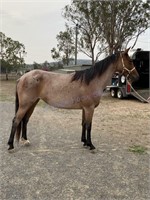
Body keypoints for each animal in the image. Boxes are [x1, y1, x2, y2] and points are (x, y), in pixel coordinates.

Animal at [7, 48, 139, 152]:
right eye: (130, 61)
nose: (136, 76)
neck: (91, 81)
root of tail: (22, 77)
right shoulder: (89, 108)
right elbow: (89, 125)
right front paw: (91, 145)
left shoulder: (85, 109)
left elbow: (84, 124)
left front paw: (84, 142)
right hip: (25, 104)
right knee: (16, 120)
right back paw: (10, 145)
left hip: (33, 103)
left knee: (25, 120)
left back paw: (25, 140)